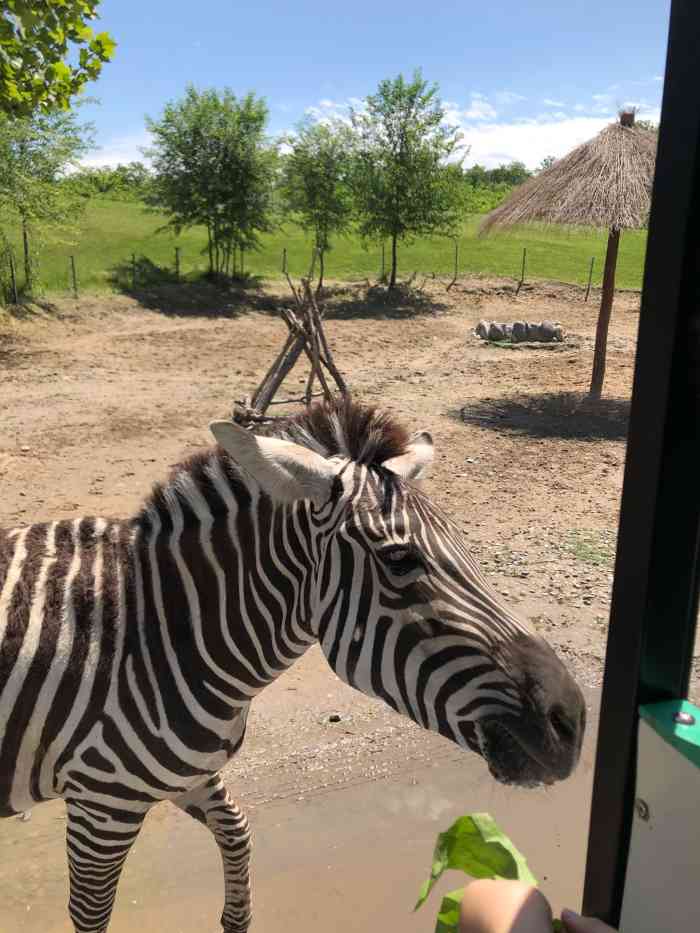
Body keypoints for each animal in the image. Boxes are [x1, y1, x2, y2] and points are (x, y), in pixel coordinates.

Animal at [0, 396, 584, 928]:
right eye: (400, 559)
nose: (572, 724)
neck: (161, 632)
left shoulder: (185, 773)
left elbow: (238, 835)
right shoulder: (103, 802)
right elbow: (91, 913)